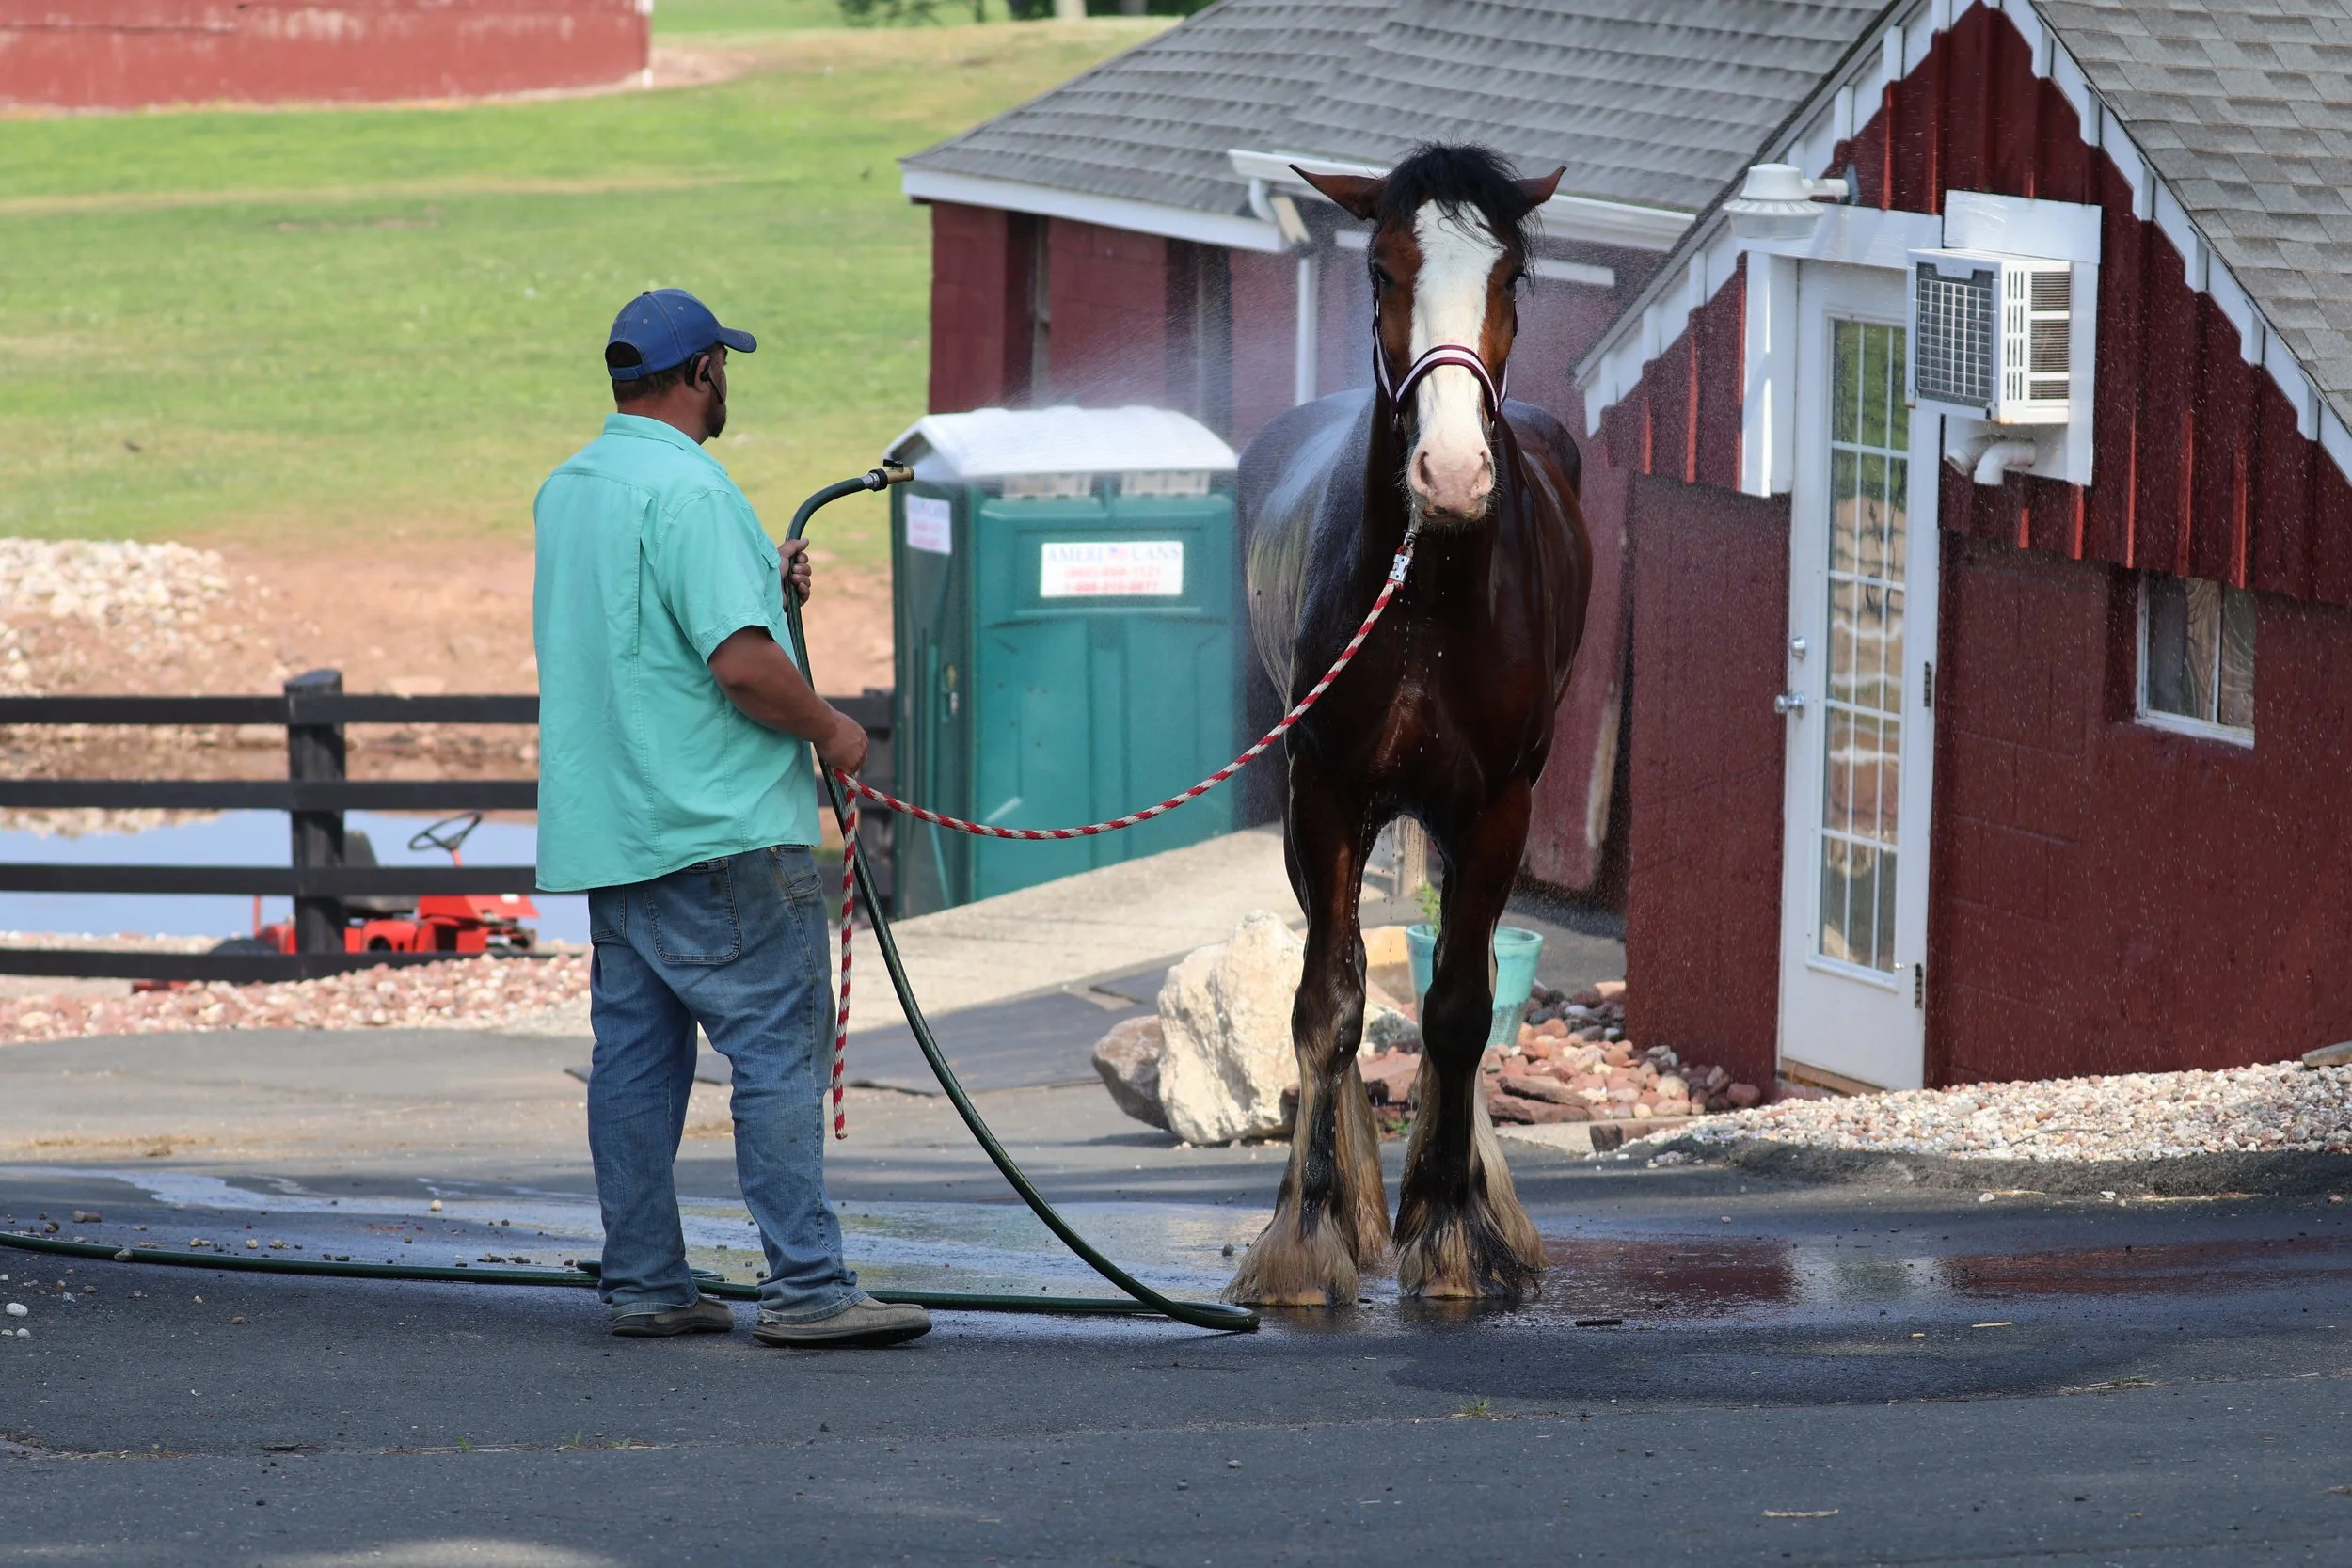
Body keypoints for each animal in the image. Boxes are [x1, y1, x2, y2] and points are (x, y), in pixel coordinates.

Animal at [1226, 144, 1592, 1305]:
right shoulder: (1325, 793)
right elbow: (1328, 1003)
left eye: (1511, 275)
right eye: (1382, 271)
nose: (1453, 473)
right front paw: (1306, 1233)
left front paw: (1454, 1230)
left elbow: (1462, 1007)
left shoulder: (1498, 803)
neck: (1424, 591)